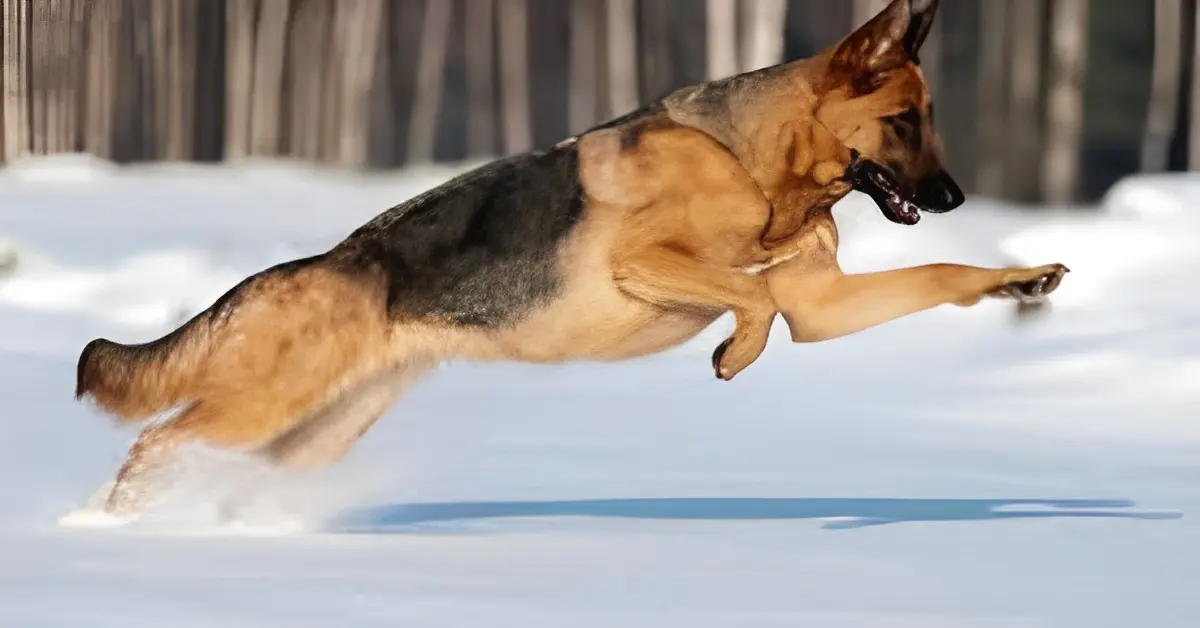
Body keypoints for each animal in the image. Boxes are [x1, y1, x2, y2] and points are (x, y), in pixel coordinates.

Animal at [75, 0, 1070, 521]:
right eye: (902, 122)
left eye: (928, 120)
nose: (955, 200)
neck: (758, 162)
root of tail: (314, 265)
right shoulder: (647, 258)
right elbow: (750, 301)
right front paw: (735, 353)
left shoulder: (822, 307)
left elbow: (935, 281)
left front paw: (1020, 278)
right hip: (264, 406)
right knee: (155, 440)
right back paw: (100, 532)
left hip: (310, 432)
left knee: (192, 458)